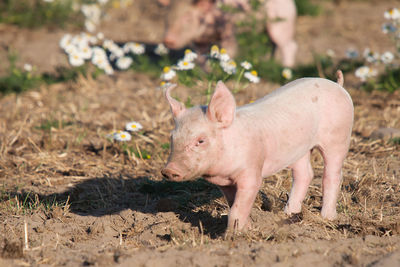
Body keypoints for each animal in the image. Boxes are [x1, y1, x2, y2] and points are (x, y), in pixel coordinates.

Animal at [159, 0, 296, 68]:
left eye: (187, 17)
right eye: (167, 15)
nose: (167, 40)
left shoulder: (229, 29)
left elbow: (230, 51)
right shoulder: (199, 41)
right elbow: (202, 58)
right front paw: (207, 73)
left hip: (282, 24)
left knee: (289, 46)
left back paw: (287, 67)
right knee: (273, 45)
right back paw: (269, 61)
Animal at [162, 70, 354, 230]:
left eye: (201, 140)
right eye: (172, 137)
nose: (168, 170)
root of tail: (337, 85)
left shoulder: (251, 170)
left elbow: (239, 205)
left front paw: (235, 235)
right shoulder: (225, 183)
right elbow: (234, 204)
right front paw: (246, 227)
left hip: (338, 137)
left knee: (333, 175)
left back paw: (327, 217)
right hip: (299, 149)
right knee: (304, 174)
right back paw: (288, 213)